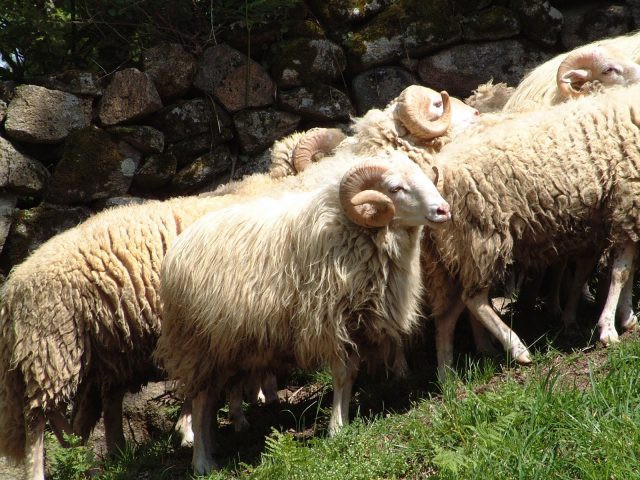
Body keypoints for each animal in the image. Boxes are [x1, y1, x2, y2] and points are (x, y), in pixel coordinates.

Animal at [154, 152, 450, 474]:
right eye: (395, 188)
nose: (443, 210)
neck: (353, 232)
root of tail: (176, 249)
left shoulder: (356, 323)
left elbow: (352, 374)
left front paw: (344, 421)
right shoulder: (331, 322)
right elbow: (343, 374)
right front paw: (337, 428)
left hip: (226, 348)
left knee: (208, 402)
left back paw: (213, 447)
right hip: (197, 345)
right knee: (199, 401)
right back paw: (202, 463)